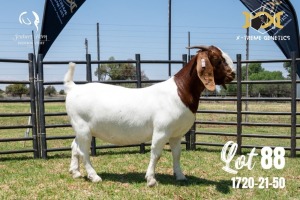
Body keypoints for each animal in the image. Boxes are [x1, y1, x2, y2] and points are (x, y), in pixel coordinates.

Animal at [64, 45, 236, 186]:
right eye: (217, 59)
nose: (233, 74)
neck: (180, 91)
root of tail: (73, 88)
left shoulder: (176, 134)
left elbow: (177, 154)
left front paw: (180, 176)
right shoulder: (162, 130)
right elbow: (156, 153)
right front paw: (151, 179)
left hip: (80, 129)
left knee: (74, 146)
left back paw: (76, 172)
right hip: (82, 126)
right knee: (83, 151)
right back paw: (94, 176)